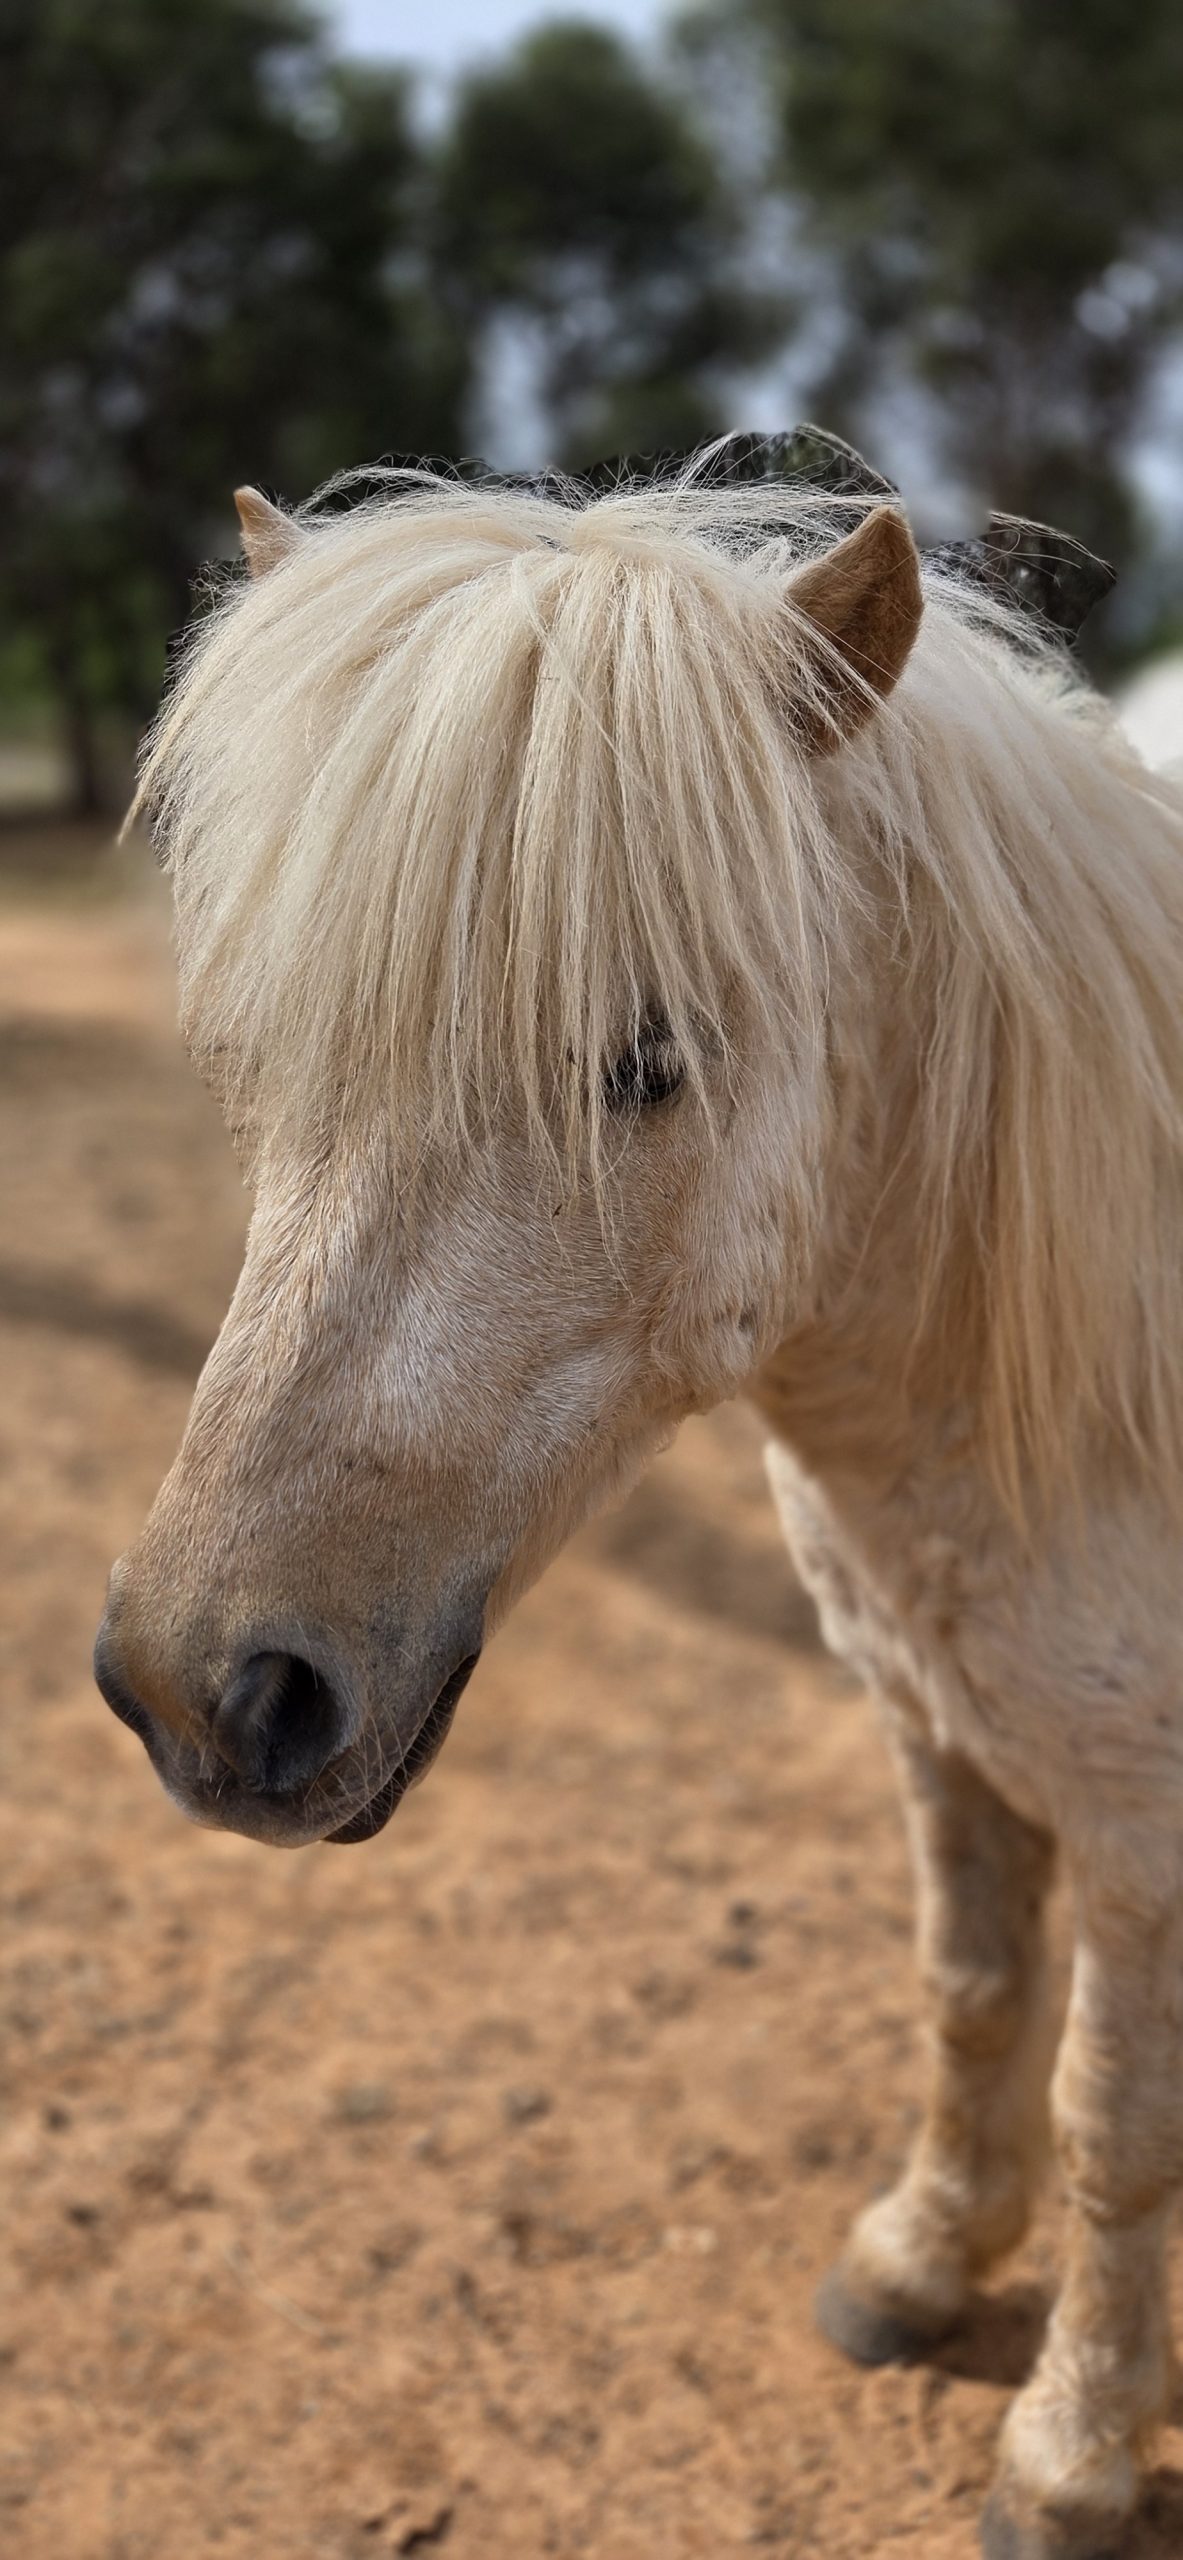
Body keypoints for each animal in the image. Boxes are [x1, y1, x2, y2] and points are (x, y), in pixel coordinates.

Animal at [94, 452, 1183, 2560]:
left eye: (643, 1060)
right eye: (262, 1052)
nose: (204, 1697)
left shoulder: (1139, 1829)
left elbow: (1112, 2130)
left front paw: (1071, 2454)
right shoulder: (941, 1734)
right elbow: (968, 2001)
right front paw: (920, 2261)